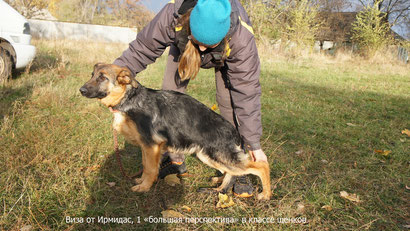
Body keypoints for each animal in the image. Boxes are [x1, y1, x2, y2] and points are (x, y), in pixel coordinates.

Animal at [80, 63, 272, 200]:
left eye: (102, 77)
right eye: (92, 75)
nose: (81, 90)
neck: (129, 99)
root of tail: (236, 133)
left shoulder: (151, 146)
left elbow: (150, 169)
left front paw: (144, 187)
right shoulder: (147, 148)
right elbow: (145, 165)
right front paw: (142, 182)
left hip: (220, 156)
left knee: (261, 166)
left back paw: (265, 194)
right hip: (208, 156)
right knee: (231, 171)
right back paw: (218, 181)